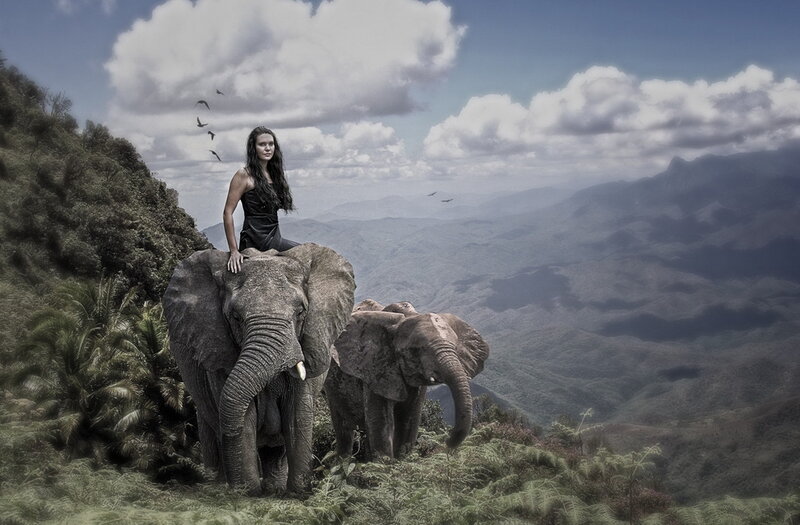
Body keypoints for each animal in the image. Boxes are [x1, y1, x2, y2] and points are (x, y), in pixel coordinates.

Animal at [162, 243, 355, 495]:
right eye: (235, 317)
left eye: (301, 312)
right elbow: (244, 415)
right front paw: (246, 492)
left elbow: (297, 415)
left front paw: (298, 493)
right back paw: (218, 486)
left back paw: (274, 490)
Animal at [324, 299, 489, 460]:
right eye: (416, 350)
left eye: (455, 347)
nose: (448, 440)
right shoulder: (374, 367)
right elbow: (381, 426)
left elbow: (409, 422)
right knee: (343, 429)